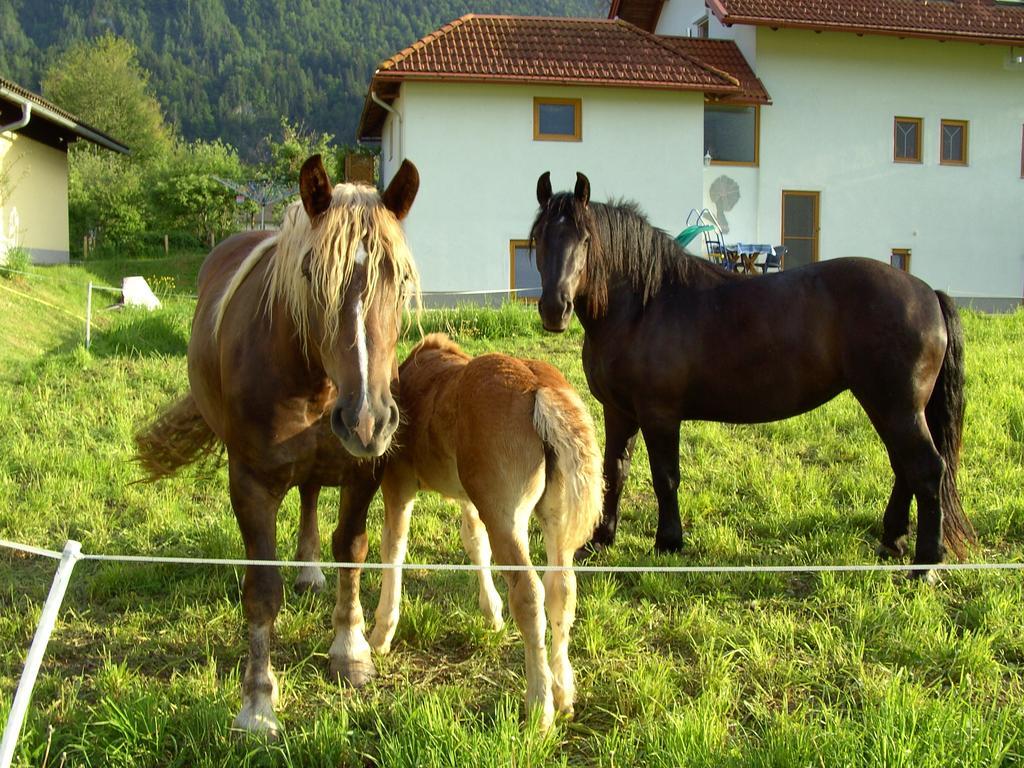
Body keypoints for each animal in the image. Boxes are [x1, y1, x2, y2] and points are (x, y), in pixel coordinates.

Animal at [136, 153, 419, 737]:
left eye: (400, 277)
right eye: (312, 275)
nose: (367, 420)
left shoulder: (363, 474)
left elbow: (351, 551)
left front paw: (350, 652)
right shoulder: (251, 485)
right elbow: (262, 592)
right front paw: (258, 702)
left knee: (310, 495)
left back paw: (310, 570)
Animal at [368, 335, 602, 729]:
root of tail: (539, 386)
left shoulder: (398, 481)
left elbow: (393, 547)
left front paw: (381, 634)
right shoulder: (469, 497)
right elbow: (475, 542)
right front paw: (491, 614)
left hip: (505, 516)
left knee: (529, 592)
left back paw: (540, 706)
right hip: (552, 517)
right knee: (562, 587)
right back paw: (563, 694)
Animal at [532, 171, 970, 573]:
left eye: (585, 240)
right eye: (539, 238)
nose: (555, 308)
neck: (644, 306)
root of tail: (928, 293)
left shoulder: (660, 415)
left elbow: (665, 476)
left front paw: (669, 542)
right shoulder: (620, 411)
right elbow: (615, 471)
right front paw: (600, 540)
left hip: (897, 407)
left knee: (926, 470)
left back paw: (926, 564)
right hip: (889, 407)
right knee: (904, 468)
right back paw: (892, 541)